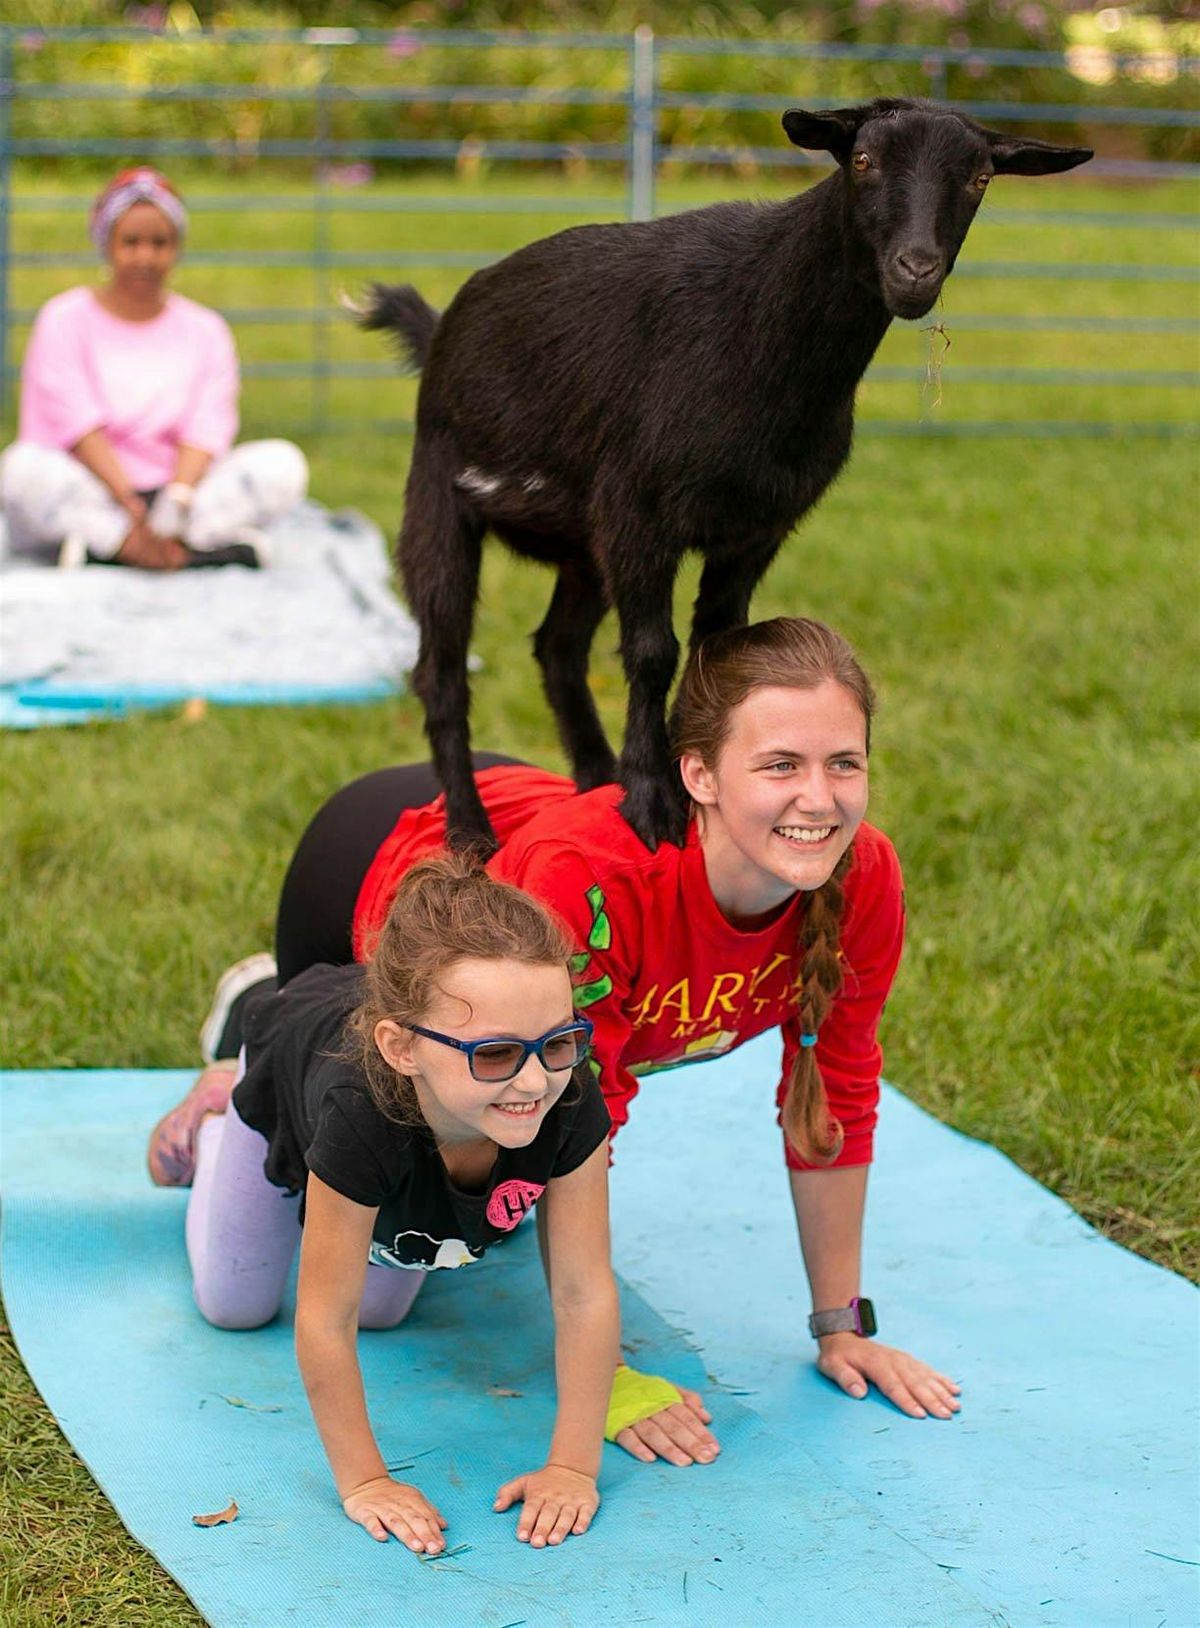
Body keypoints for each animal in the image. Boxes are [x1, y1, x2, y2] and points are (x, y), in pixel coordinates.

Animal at [359, 98, 1087, 853]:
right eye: (862, 160)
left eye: (980, 177)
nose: (916, 270)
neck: (763, 333)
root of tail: (441, 329)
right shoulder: (639, 512)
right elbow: (653, 652)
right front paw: (652, 802)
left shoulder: (754, 528)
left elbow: (717, 648)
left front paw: (682, 783)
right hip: (439, 496)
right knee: (441, 670)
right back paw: (470, 829)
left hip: (585, 547)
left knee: (557, 648)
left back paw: (593, 779)